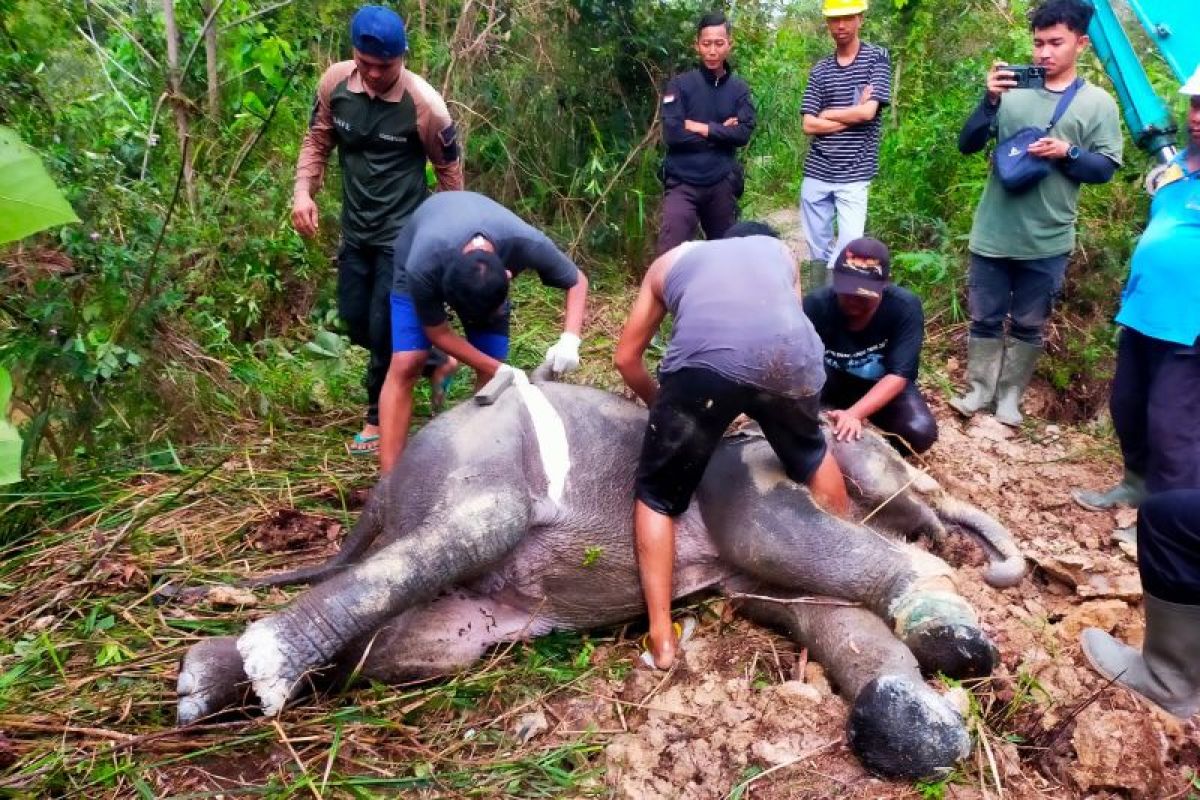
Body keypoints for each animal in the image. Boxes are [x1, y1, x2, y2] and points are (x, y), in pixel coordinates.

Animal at [175, 379, 1022, 777]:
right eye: (877, 447)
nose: (946, 522)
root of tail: (383, 493)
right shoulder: (738, 482)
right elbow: (802, 562)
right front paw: (960, 642)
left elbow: (818, 603)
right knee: (464, 556)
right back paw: (231, 676)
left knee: (426, 636)